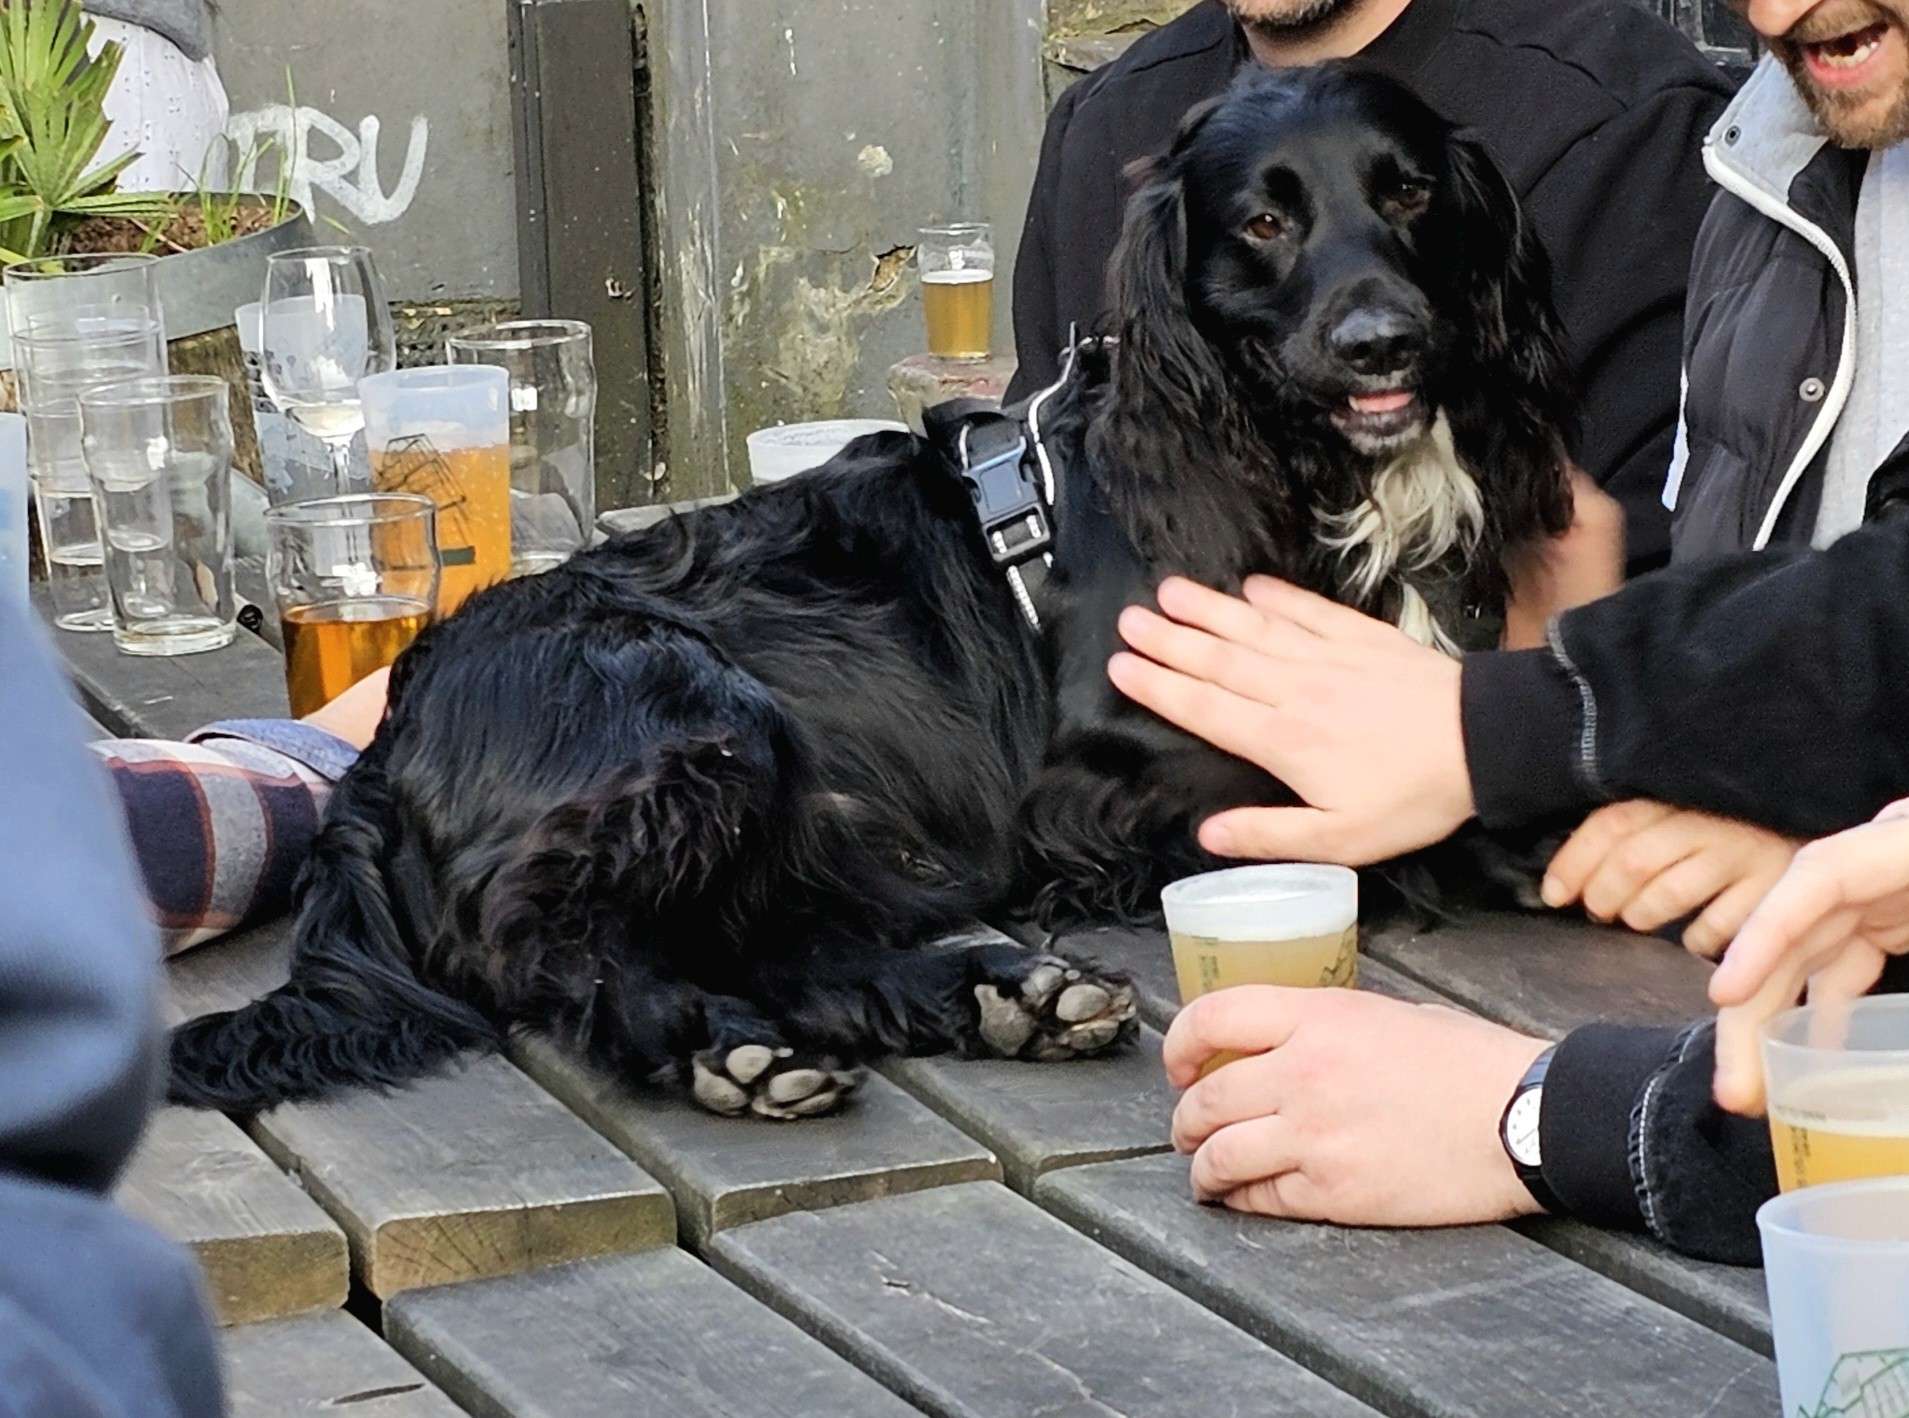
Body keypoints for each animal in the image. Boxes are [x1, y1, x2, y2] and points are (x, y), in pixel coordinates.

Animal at [169, 66, 1574, 1121]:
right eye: (1264, 222)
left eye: (1408, 191)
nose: (1381, 342)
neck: (1292, 466)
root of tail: (391, 736)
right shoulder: (1102, 786)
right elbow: (1367, 803)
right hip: (696, 716)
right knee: (567, 946)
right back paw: (728, 1050)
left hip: (802, 809)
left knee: (780, 942)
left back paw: (999, 1000)